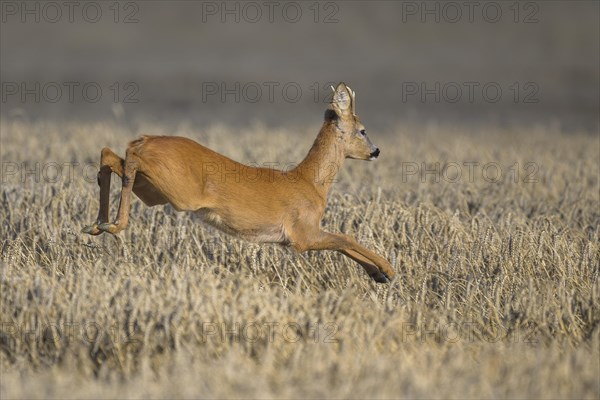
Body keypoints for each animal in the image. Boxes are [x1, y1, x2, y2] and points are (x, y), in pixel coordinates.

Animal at [82, 83, 396, 282]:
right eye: (362, 130)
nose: (377, 151)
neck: (310, 182)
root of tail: (146, 139)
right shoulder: (302, 234)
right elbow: (346, 238)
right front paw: (388, 269)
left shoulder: (298, 237)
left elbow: (343, 242)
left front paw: (378, 275)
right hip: (179, 192)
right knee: (128, 157)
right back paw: (113, 225)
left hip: (152, 191)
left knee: (110, 154)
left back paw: (96, 225)